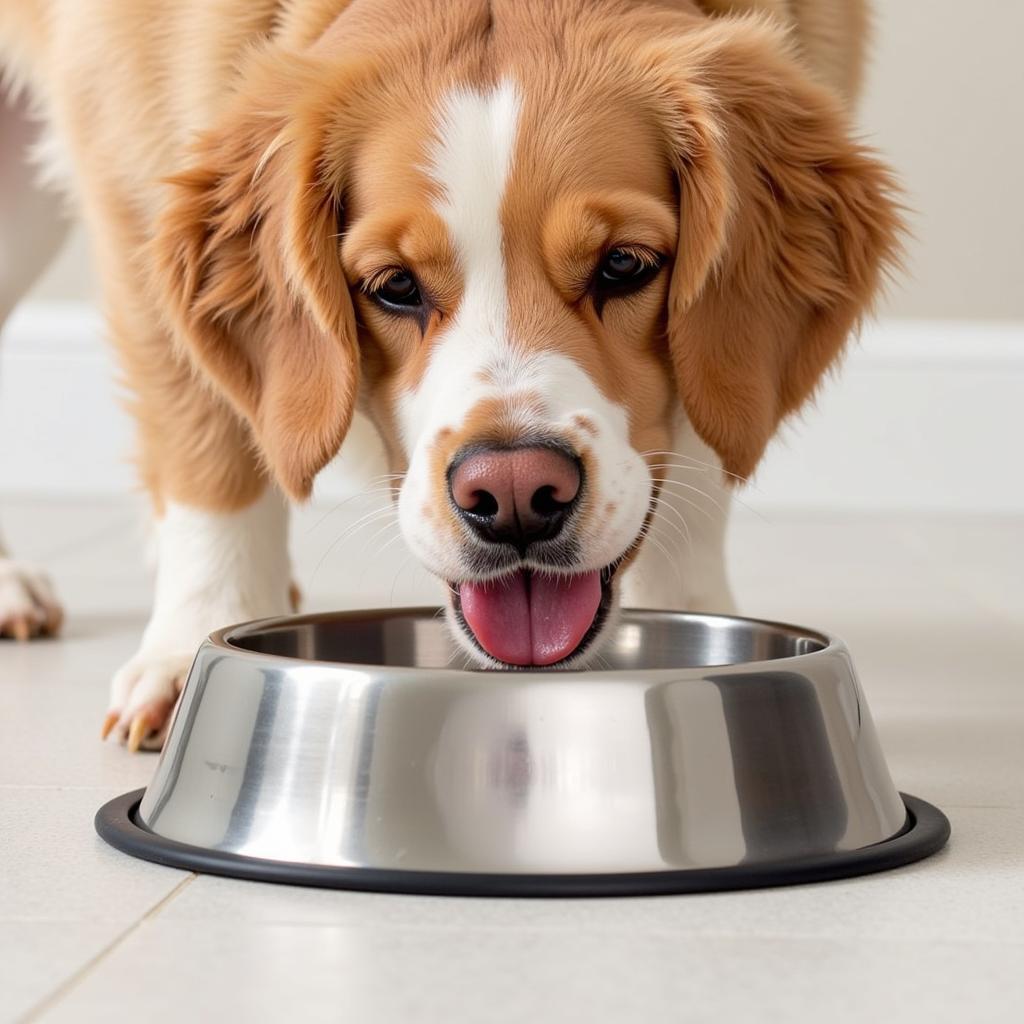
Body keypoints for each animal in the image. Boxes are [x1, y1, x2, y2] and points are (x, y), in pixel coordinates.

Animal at [0, 2, 897, 753]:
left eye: (624, 265)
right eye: (394, 285)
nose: (516, 495)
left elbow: (700, 457)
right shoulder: (133, 191)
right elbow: (212, 460)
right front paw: (194, 644)